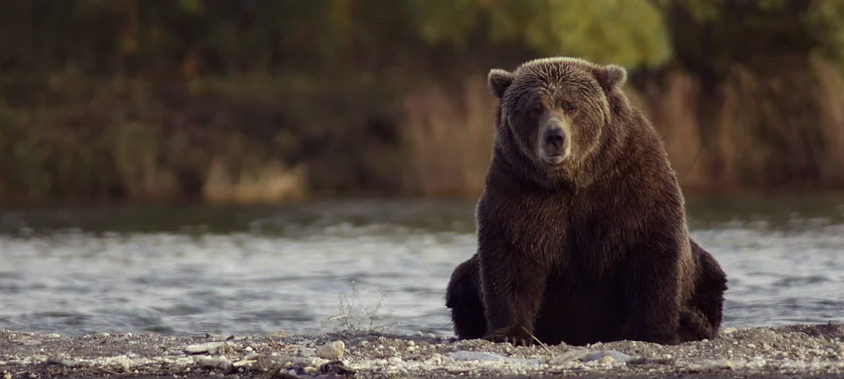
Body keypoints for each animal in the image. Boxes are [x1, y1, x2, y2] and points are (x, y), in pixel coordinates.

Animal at [446, 57, 728, 348]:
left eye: (571, 105)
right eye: (535, 108)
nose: (555, 136)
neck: (572, 180)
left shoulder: (631, 183)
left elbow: (652, 253)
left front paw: (658, 332)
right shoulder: (518, 187)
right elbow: (512, 254)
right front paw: (510, 332)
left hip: (702, 271)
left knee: (711, 275)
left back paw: (693, 321)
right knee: (460, 282)